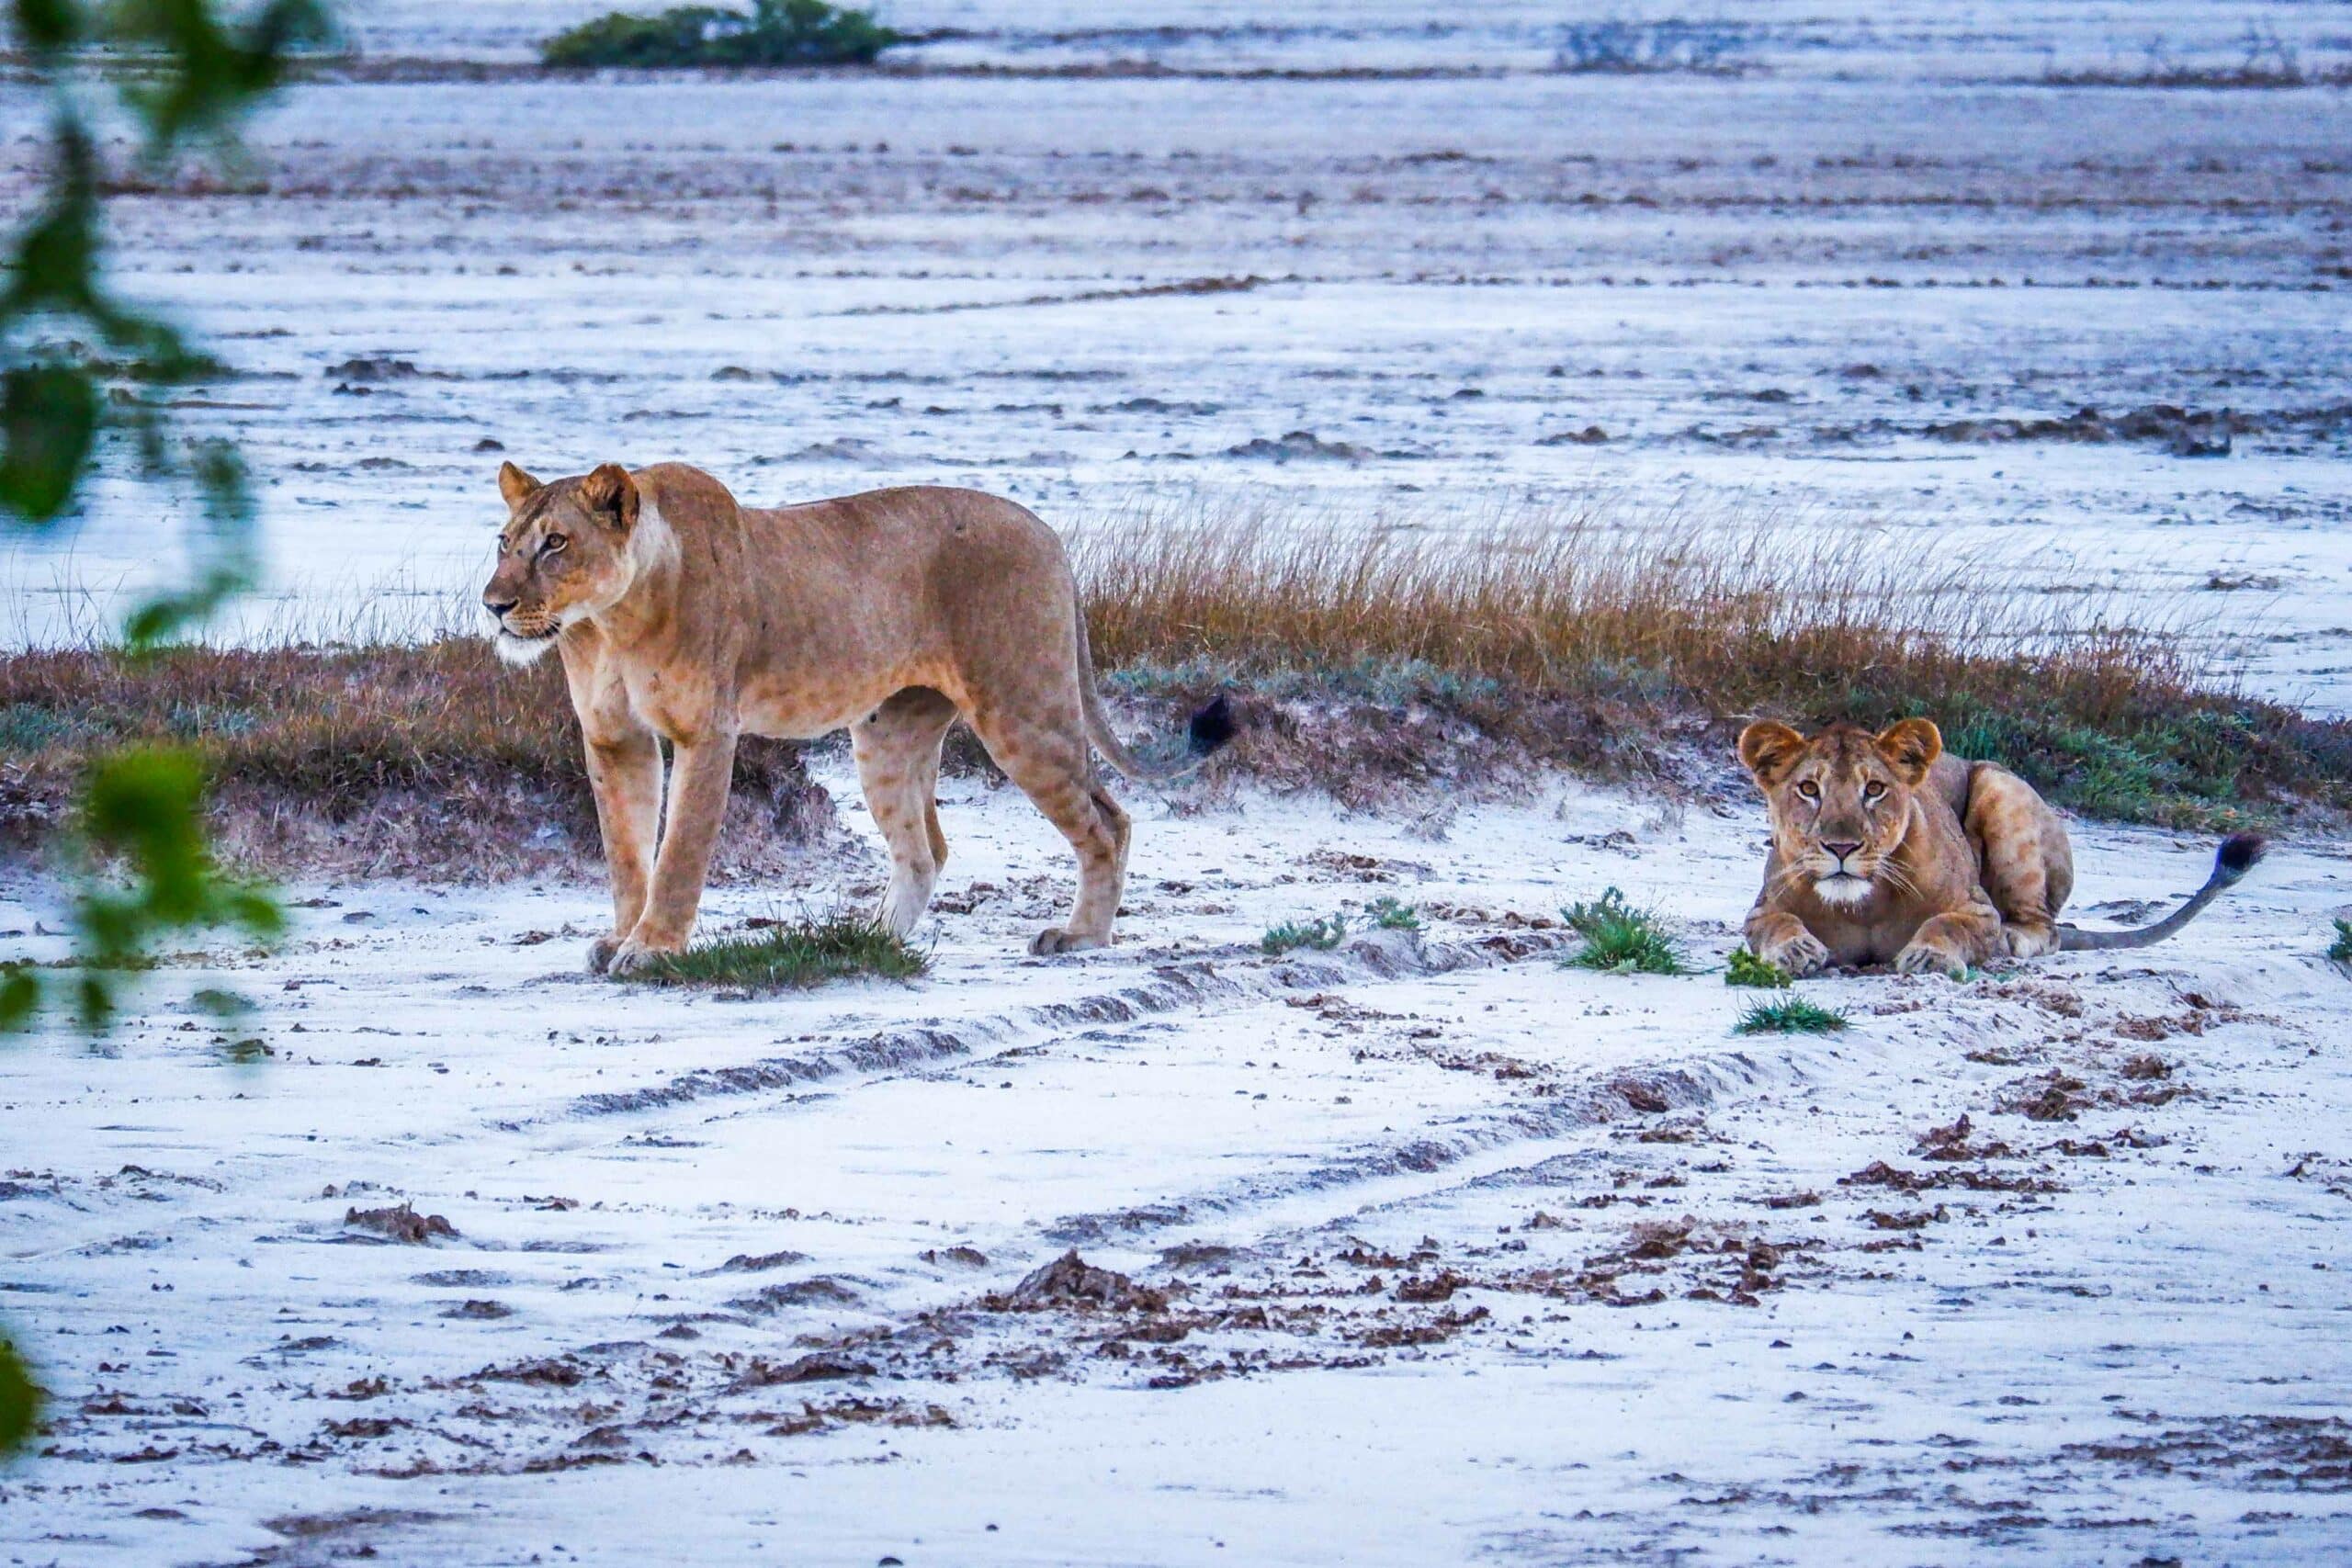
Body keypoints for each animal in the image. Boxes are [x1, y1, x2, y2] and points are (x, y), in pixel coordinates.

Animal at [480, 461, 1231, 975]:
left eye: (555, 543)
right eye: (504, 541)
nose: (493, 605)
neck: (607, 623)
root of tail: (1048, 534)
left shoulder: (707, 732)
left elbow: (679, 853)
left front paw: (652, 949)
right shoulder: (615, 739)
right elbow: (626, 852)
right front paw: (620, 936)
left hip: (1022, 708)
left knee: (1108, 821)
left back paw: (1081, 938)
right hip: (887, 734)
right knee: (925, 850)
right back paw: (867, 936)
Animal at [1735, 718, 2263, 979]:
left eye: (1875, 790)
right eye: (1808, 789)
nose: (1841, 846)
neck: (1862, 906)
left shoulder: (1977, 910)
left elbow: (1948, 924)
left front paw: (1929, 957)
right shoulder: (1761, 910)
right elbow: (1775, 924)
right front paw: (1796, 949)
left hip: (1999, 785)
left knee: (2046, 929)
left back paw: (2012, 940)